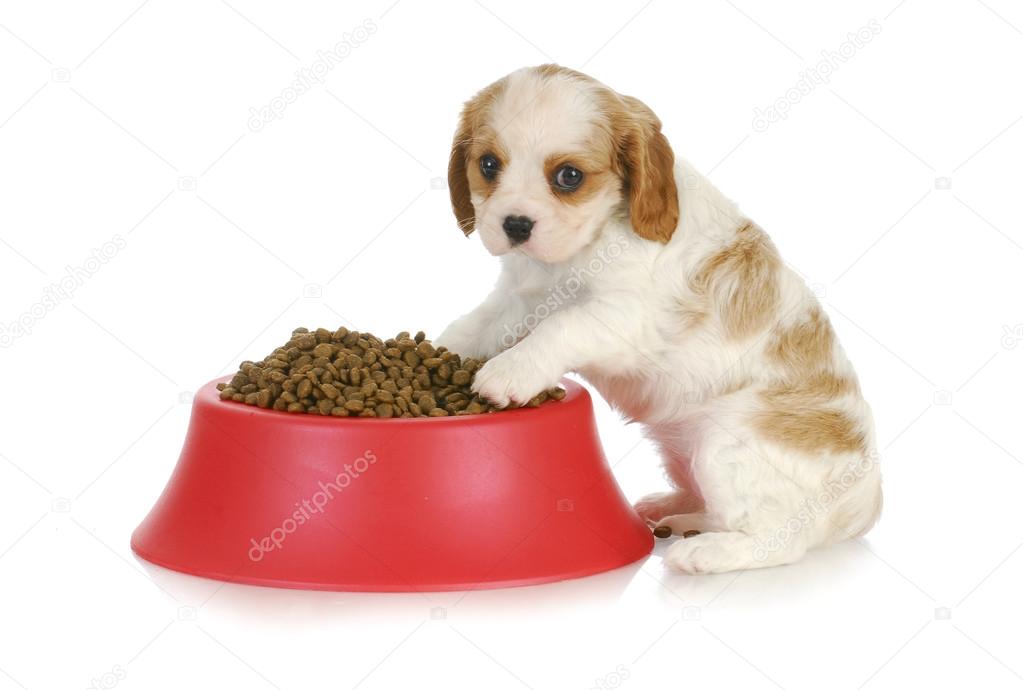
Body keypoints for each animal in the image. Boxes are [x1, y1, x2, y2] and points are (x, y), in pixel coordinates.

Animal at [435, 64, 883, 573]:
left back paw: (703, 552)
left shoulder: (625, 317)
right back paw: (676, 512)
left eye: (568, 176)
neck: (575, 253)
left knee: (781, 538)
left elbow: (561, 326)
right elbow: (476, 325)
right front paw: (442, 350)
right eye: (489, 165)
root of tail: (864, 501)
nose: (514, 225)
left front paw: (510, 371)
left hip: (724, 444)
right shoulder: (518, 298)